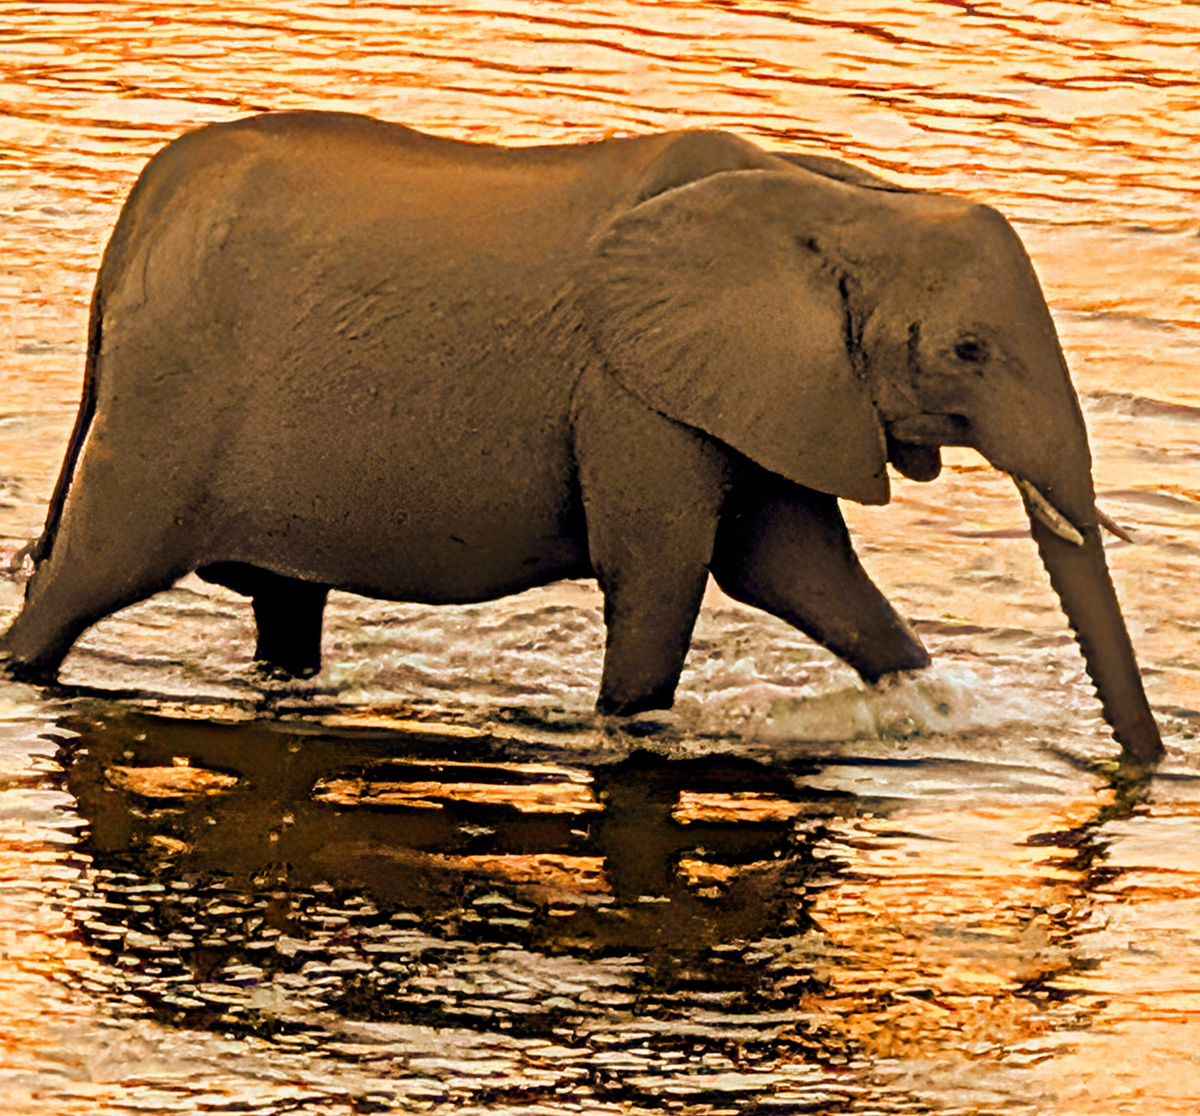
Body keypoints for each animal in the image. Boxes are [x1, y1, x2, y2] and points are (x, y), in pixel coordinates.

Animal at [0, 110, 1162, 763]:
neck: (844, 198)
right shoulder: (633, 389)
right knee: (82, 577)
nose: (1144, 772)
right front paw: (629, 730)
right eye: (968, 350)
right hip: (167, 401)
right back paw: (25, 669)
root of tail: (138, 217)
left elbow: (794, 564)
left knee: (285, 609)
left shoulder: (761, 386)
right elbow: (669, 574)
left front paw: (925, 704)